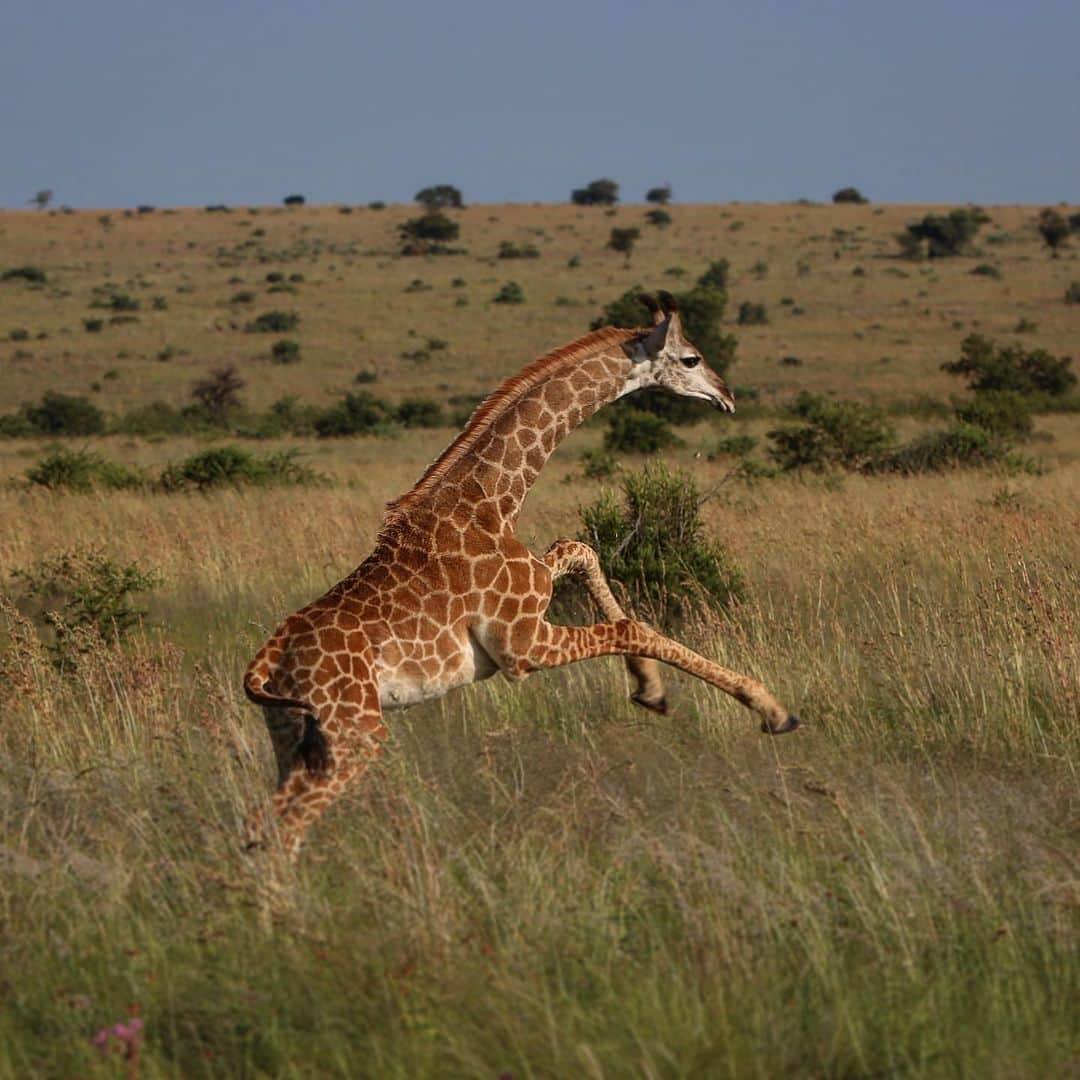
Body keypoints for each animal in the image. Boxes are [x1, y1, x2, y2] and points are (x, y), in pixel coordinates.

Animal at [247, 289, 803, 859]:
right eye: (691, 358)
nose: (727, 395)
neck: (494, 500)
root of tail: (266, 664)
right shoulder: (521, 648)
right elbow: (631, 626)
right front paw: (770, 709)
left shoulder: (534, 598)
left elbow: (577, 548)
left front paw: (652, 688)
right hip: (353, 732)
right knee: (282, 830)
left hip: (294, 735)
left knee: (261, 825)